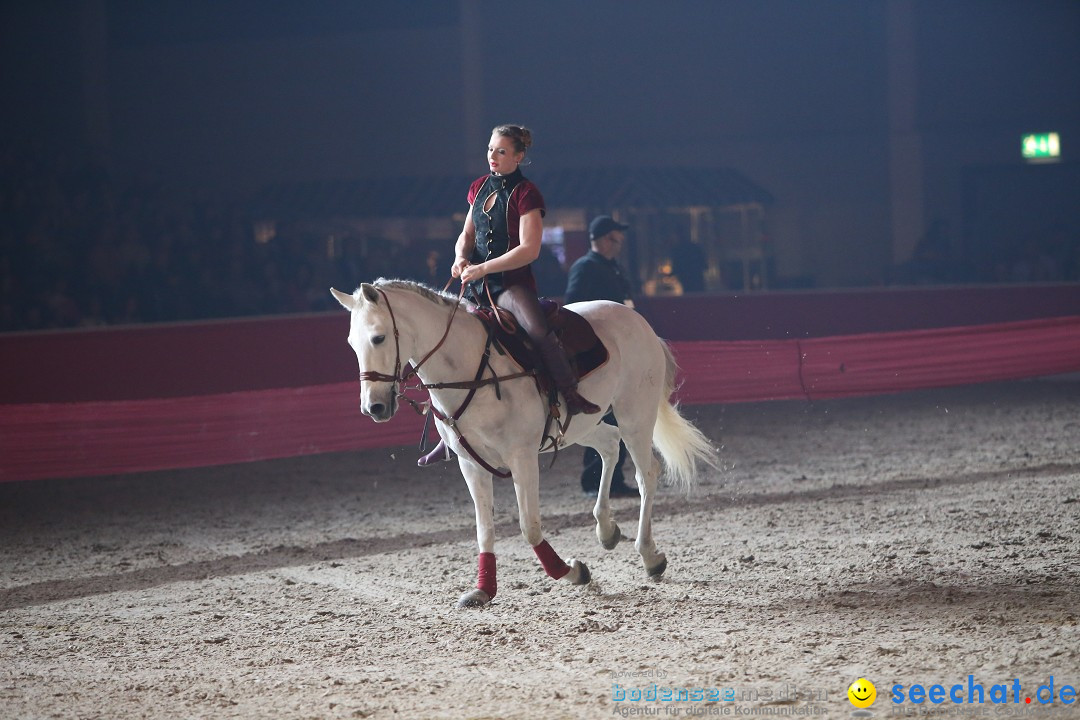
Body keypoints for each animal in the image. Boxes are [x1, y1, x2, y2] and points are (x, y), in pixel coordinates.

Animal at [328, 278, 717, 604]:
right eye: (351, 344)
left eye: (378, 338)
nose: (374, 407)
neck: (471, 371)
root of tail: (634, 317)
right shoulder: (471, 464)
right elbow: (484, 529)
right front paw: (483, 590)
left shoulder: (522, 457)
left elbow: (529, 528)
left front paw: (573, 572)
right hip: (583, 425)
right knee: (609, 445)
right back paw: (606, 529)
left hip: (635, 413)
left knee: (645, 473)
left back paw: (649, 555)